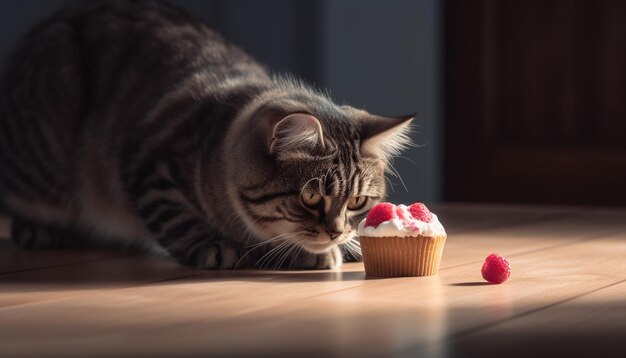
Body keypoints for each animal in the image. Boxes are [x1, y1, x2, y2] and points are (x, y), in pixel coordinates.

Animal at [0, 0, 410, 268]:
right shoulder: (152, 164)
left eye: (358, 202)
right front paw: (218, 247)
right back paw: (41, 230)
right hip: (45, 162)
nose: (336, 233)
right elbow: (178, 219)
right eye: (310, 197)